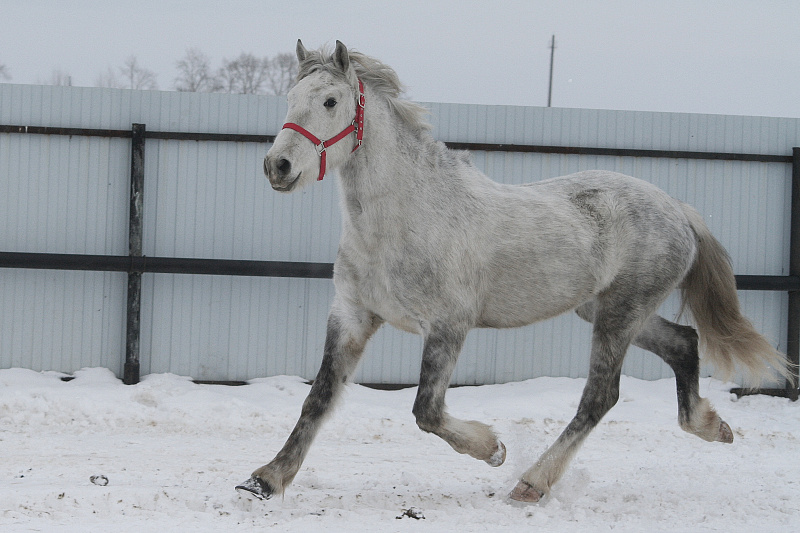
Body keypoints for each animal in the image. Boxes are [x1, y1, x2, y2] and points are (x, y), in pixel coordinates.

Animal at [236, 40, 791, 503]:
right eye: (291, 96)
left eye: (330, 101)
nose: (277, 167)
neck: (405, 217)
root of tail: (678, 209)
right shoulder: (352, 315)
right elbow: (319, 398)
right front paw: (264, 480)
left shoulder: (448, 327)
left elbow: (426, 410)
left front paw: (494, 449)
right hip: (608, 309)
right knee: (683, 343)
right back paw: (714, 426)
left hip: (620, 314)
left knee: (600, 396)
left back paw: (531, 482)